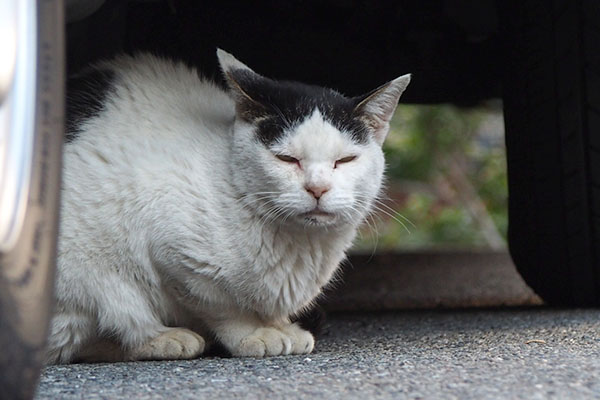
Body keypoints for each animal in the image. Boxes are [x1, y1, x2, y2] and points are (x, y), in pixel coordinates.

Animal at [47, 49, 410, 362]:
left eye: (345, 160)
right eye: (286, 159)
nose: (317, 188)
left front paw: (280, 326)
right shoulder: (176, 257)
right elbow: (222, 307)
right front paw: (254, 334)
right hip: (85, 274)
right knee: (86, 336)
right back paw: (162, 338)